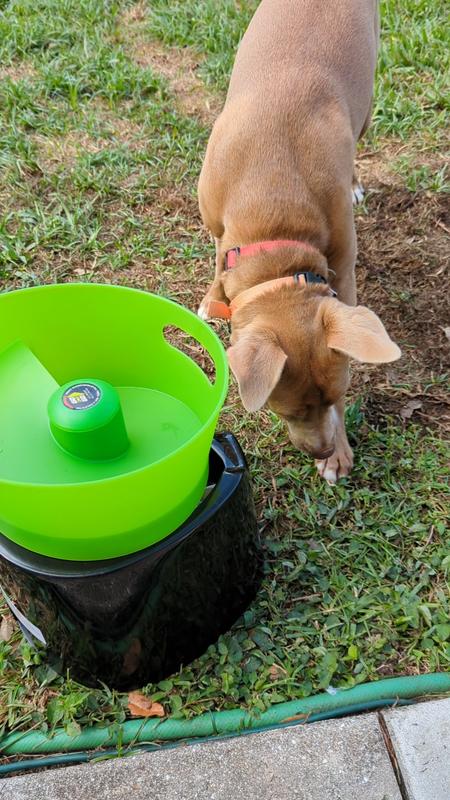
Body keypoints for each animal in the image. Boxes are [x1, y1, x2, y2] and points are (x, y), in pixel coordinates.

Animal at [197, 1, 400, 482]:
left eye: (335, 397)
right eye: (285, 411)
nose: (323, 450)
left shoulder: (342, 274)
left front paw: (340, 452)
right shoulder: (217, 223)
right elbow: (218, 259)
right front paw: (213, 298)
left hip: (366, 106)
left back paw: (355, 184)